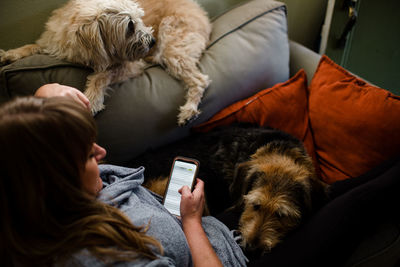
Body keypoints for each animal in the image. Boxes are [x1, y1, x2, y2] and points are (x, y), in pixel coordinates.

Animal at [0, 0, 212, 125]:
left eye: (140, 18)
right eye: (130, 26)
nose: (152, 41)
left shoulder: (131, 65)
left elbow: (102, 76)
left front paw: (93, 98)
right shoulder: (53, 43)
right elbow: (31, 46)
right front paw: (9, 54)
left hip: (172, 50)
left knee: (201, 80)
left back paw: (189, 110)